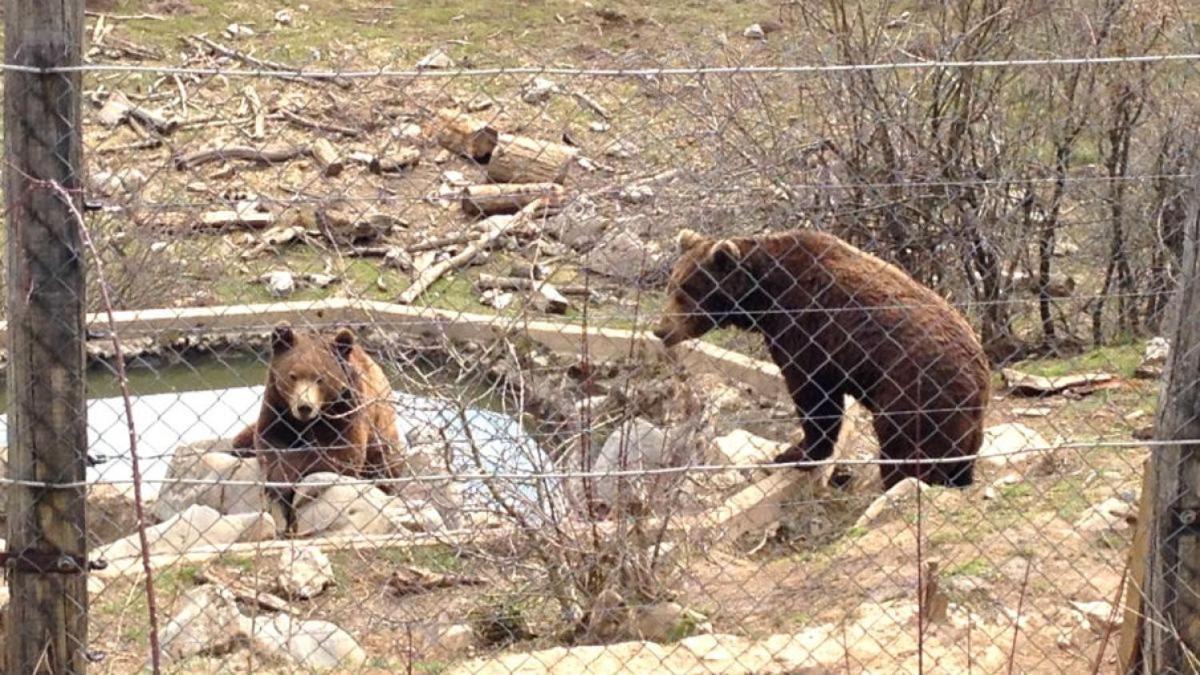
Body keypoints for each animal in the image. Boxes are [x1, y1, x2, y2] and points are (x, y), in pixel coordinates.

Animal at [230, 321, 408, 526]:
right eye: (292, 376)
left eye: (320, 378)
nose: (304, 406)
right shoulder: (278, 404)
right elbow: (269, 439)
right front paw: (277, 482)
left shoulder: (347, 407)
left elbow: (342, 452)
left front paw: (282, 482)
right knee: (240, 440)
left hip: (383, 438)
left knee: (383, 464)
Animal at [652, 228, 988, 485]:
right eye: (671, 286)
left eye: (685, 292)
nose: (660, 329)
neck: (762, 301)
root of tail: (978, 381)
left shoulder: (806, 328)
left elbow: (813, 396)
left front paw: (795, 453)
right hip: (964, 427)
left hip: (914, 396)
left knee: (904, 450)